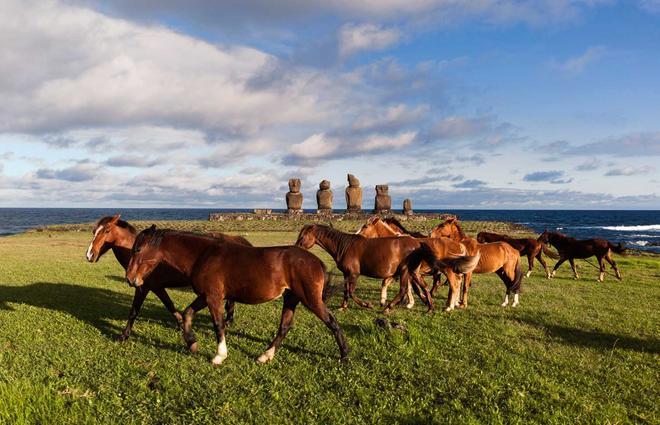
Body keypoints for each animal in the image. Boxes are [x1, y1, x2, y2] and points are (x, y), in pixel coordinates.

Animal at [86, 214, 251, 340]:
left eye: (107, 230)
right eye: (94, 231)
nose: (89, 255)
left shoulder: (144, 288)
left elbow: (134, 311)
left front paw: (124, 335)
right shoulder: (157, 287)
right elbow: (169, 305)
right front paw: (181, 323)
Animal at [125, 225, 348, 364]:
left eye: (138, 249)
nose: (130, 279)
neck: (204, 255)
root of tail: (315, 261)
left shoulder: (213, 298)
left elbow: (218, 324)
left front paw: (219, 356)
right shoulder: (206, 296)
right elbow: (188, 313)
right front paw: (191, 342)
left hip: (311, 300)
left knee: (333, 322)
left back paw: (344, 356)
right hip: (291, 298)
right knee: (284, 328)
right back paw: (265, 356)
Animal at [296, 225, 436, 312]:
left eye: (302, 237)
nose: (296, 248)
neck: (344, 246)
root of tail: (417, 243)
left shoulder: (354, 274)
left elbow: (351, 292)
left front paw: (367, 305)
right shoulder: (346, 274)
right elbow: (346, 291)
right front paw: (343, 307)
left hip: (405, 271)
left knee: (403, 290)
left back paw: (387, 308)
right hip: (413, 272)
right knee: (424, 287)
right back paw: (429, 308)